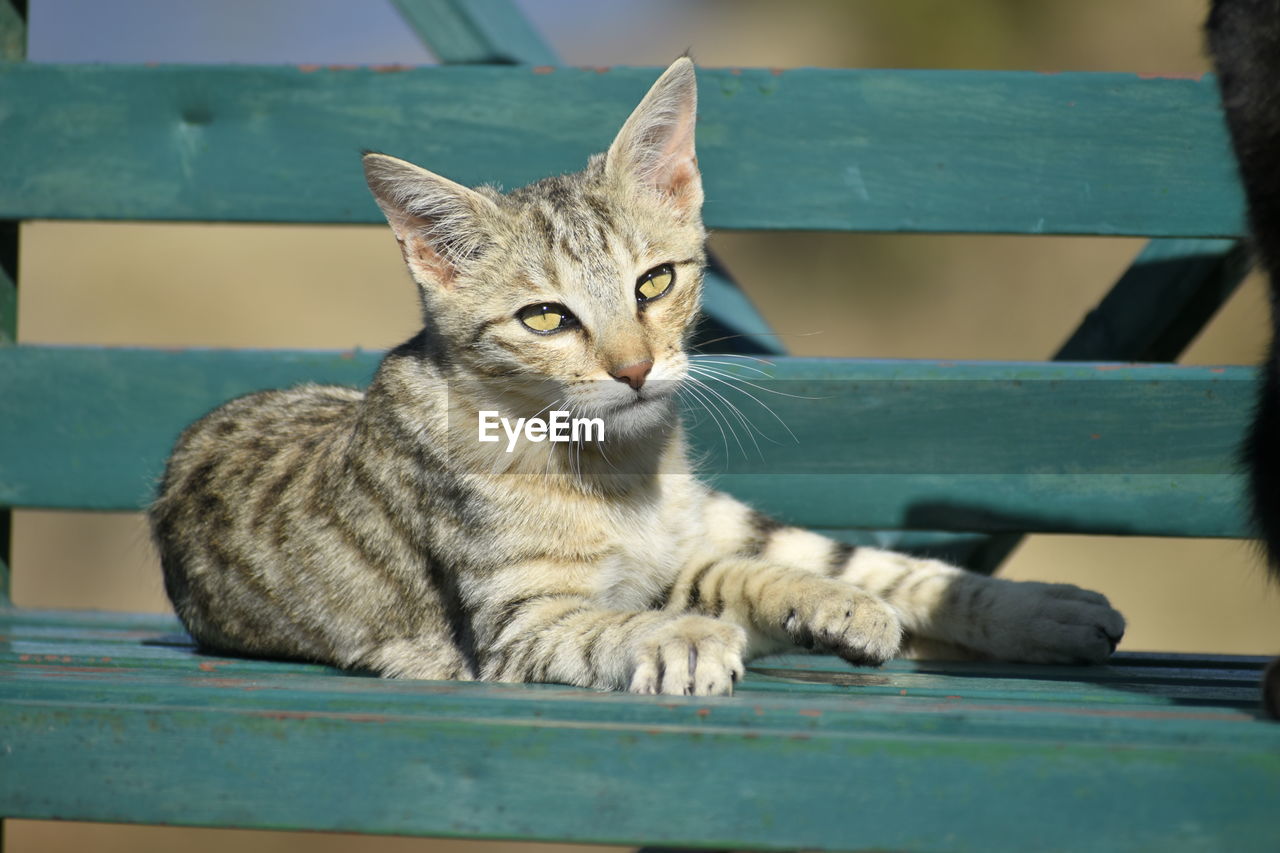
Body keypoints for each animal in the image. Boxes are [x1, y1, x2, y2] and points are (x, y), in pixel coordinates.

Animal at [154, 58, 1126, 691]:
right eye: (546, 317)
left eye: (653, 282)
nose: (632, 368)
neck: (615, 467)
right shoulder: (517, 627)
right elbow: (625, 618)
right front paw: (685, 639)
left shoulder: (682, 544)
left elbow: (769, 573)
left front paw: (828, 608)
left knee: (859, 562)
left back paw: (1040, 608)